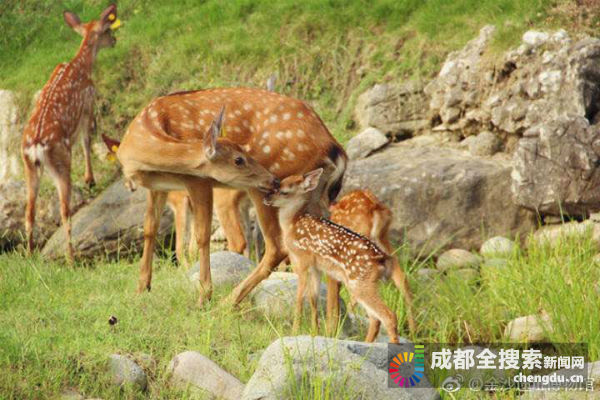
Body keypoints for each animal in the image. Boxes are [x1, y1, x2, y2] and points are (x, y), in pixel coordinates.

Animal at [21, 4, 119, 262]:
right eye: (107, 30)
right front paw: (90, 179)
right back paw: (70, 257)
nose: (115, 40)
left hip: (29, 167)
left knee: (29, 211)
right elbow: (87, 140)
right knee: (65, 211)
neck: (82, 65)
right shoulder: (88, 104)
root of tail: (36, 146)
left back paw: (31, 255)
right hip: (61, 161)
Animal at [113, 87, 344, 306]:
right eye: (238, 159)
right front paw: (141, 289)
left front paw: (204, 296)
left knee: (277, 247)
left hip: (269, 191)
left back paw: (228, 302)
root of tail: (334, 148)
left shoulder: (199, 181)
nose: (274, 180)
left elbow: (202, 236)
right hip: (316, 198)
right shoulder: (158, 186)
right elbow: (149, 228)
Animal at [266, 170, 404, 344]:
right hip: (364, 283)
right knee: (375, 318)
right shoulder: (316, 267)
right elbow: (313, 298)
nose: (266, 198)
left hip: (360, 283)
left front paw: (295, 331)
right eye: (278, 184)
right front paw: (315, 332)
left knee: (388, 315)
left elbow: (299, 298)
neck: (292, 224)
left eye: (283, 191)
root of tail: (381, 259)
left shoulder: (302, 260)